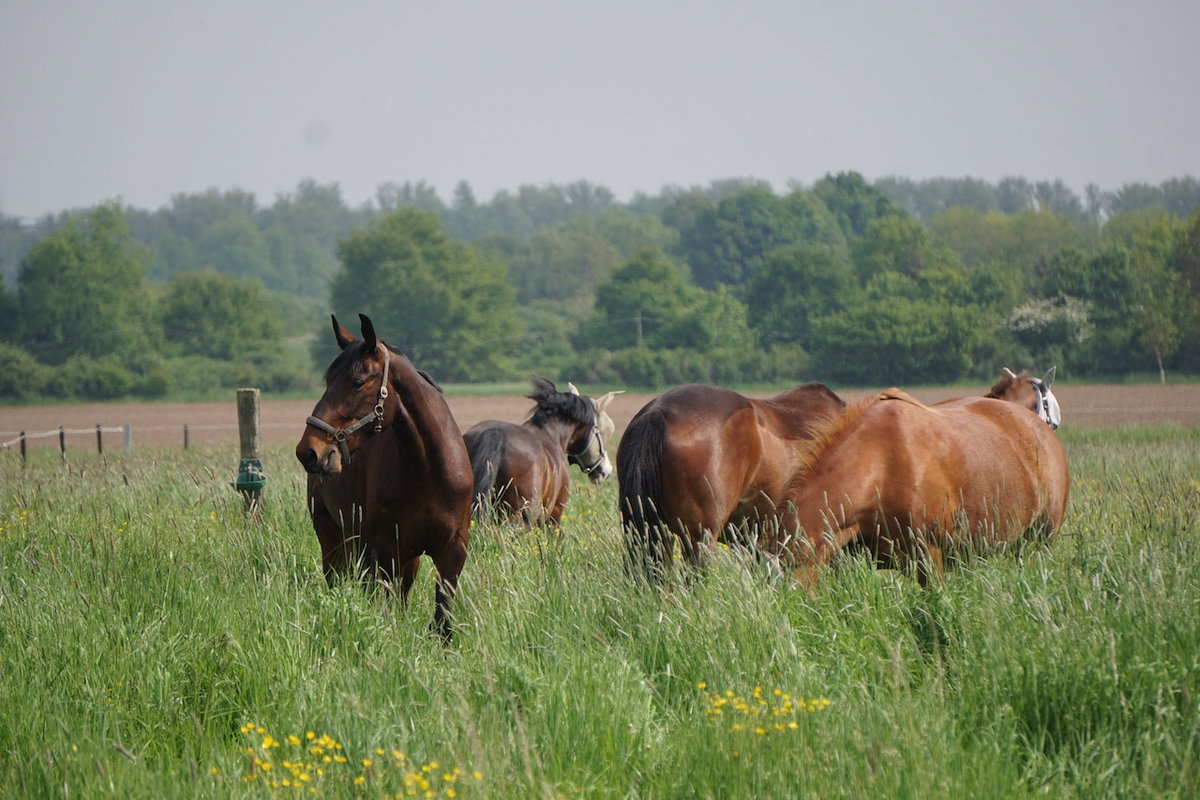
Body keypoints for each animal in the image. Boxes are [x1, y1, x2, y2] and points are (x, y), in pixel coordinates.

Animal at [295, 314, 473, 641]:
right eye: (327, 380)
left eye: (356, 381)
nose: (309, 452)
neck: (427, 471)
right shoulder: (387, 551)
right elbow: (388, 610)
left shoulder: (451, 552)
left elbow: (442, 620)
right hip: (334, 538)